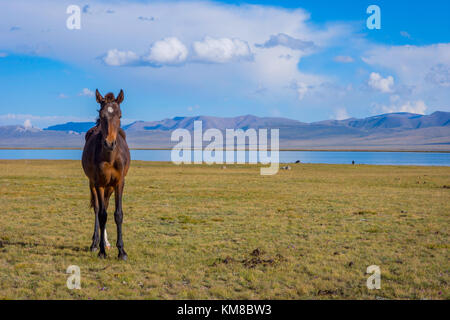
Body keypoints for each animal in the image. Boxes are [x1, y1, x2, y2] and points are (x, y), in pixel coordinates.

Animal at [81, 89, 131, 260]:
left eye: (120, 115)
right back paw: (95, 243)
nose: (109, 143)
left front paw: (121, 251)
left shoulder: (119, 182)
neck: (109, 157)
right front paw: (102, 251)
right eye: (102, 115)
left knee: (107, 206)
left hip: (110, 187)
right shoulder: (99, 183)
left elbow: (118, 214)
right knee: (98, 209)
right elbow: (102, 215)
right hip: (93, 184)